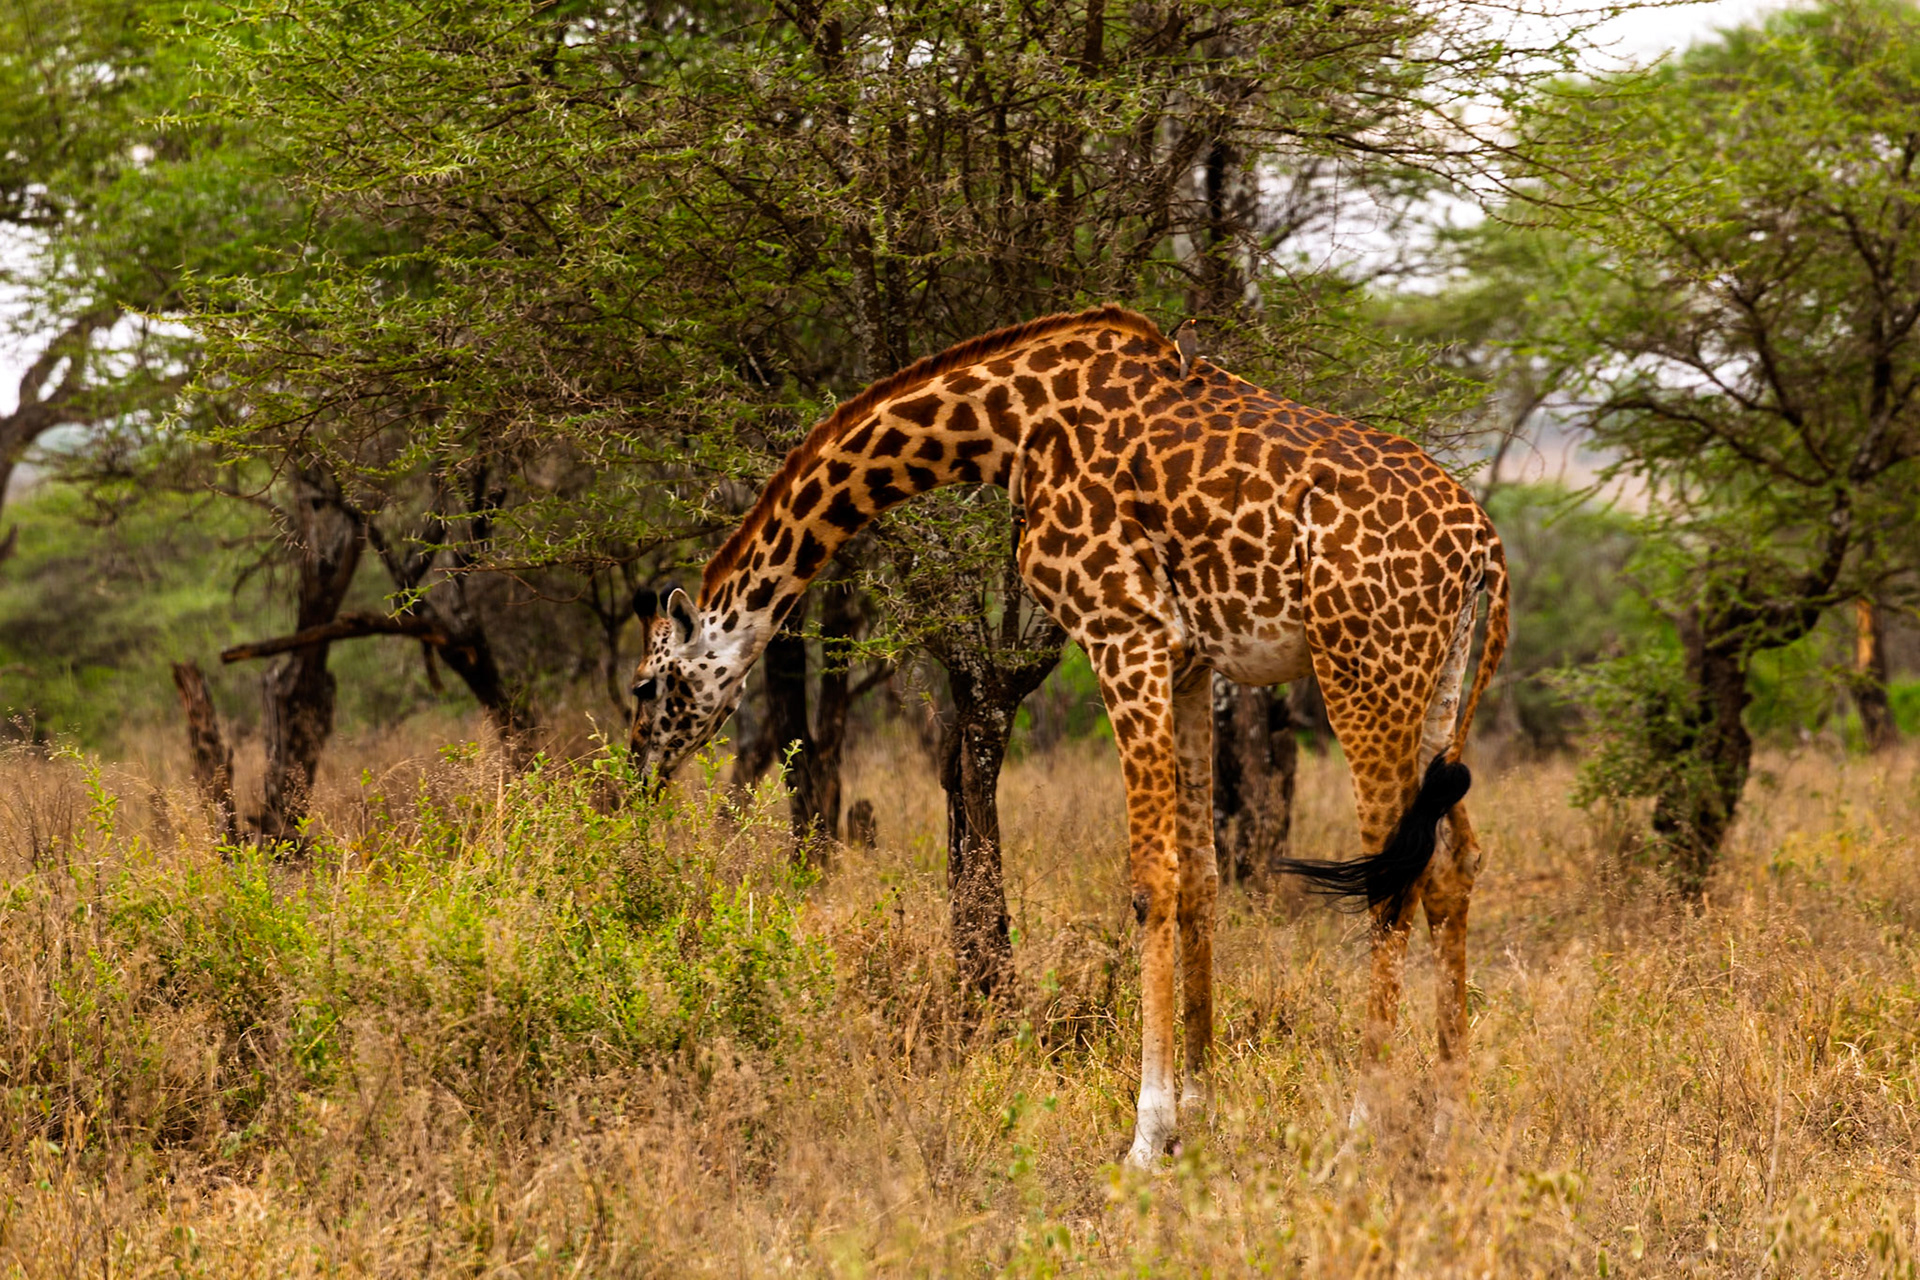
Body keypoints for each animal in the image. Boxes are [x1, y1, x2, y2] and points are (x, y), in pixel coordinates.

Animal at [628, 305, 1510, 1168]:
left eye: (644, 685)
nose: (637, 771)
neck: (1010, 428)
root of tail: (1485, 550)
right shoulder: (1191, 661)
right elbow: (1201, 877)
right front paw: (1200, 1112)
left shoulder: (1123, 630)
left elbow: (1151, 879)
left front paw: (1148, 1136)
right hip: (1435, 681)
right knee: (1453, 864)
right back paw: (1450, 1125)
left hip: (1362, 668)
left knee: (1394, 875)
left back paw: (1361, 1133)